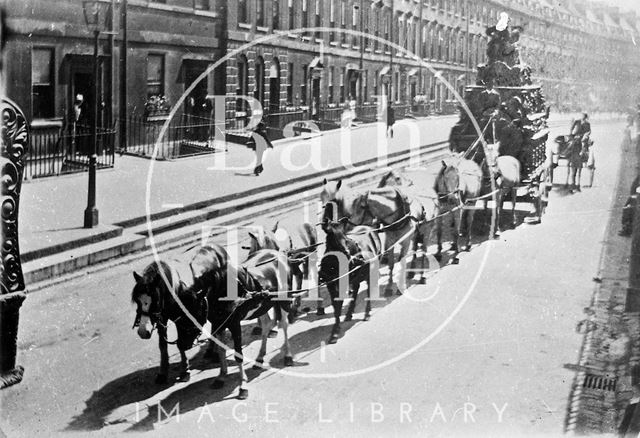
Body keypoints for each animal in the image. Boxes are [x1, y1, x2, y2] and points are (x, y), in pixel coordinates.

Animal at [131, 245, 229, 384]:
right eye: (137, 301)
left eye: (155, 300)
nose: (143, 332)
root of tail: (218, 247)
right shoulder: (161, 318)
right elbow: (162, 345)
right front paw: (162, 372)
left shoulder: (182, 319)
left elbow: (180, 343)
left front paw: (184, 371)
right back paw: (210, 350)